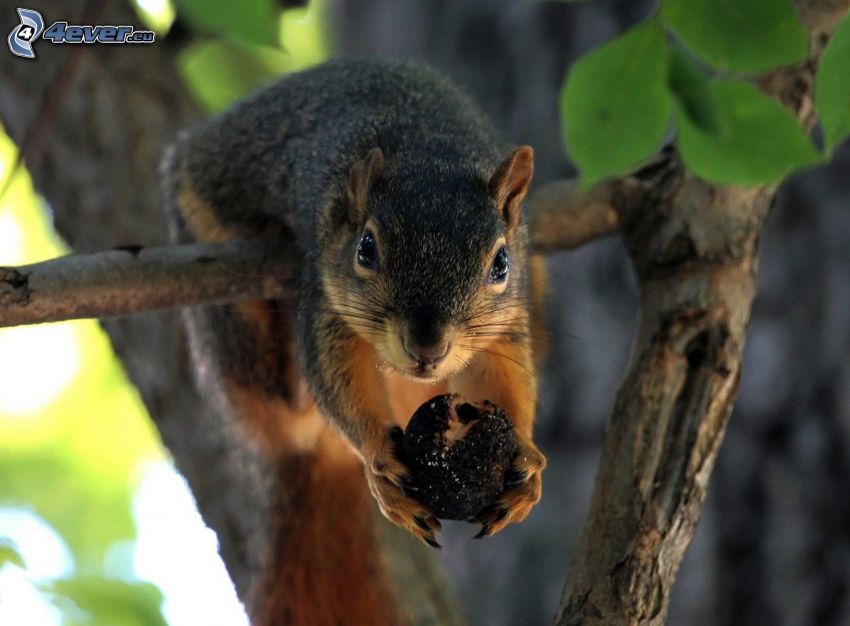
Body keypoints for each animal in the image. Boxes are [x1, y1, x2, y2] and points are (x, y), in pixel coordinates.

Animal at [162, 57, 548, 620]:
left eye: (500, 263)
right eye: (366, 249)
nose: (427, 349)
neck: (427, 146)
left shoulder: (508, 324)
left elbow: (508, 380)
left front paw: (526, 457)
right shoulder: (327, 298)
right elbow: (334, 376)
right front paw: (377, 457)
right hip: (223, 306)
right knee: (282, 398)